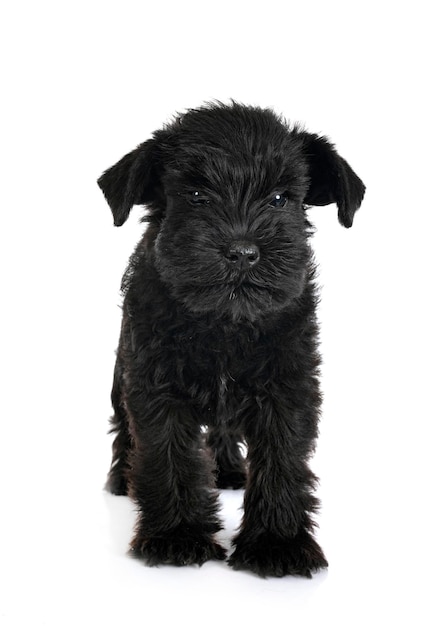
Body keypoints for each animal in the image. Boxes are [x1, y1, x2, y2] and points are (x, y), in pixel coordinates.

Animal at [97, 102, 364, 576]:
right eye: (196, 195)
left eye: (279, 198)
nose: (242, 252)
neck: (225, 322)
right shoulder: (156, 386)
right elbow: (168, 455)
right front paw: (176, 536)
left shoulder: (287, 388)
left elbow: (281, 459)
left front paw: (278, 543)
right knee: (124, 430)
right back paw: (121, 479)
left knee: (222, 431)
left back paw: (230, 470)